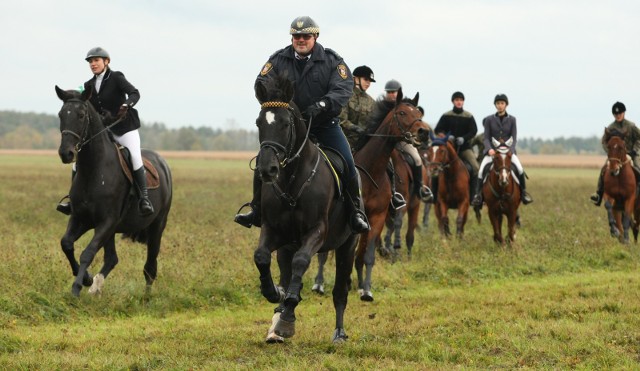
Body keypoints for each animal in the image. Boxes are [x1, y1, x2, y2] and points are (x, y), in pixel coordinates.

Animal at [54, 85, 172, 298]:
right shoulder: (82, 218)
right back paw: (95, 286)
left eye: (81, 115)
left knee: (150, 266)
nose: (66, 153)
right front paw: (86, 279)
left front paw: (77, 288)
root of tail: (162, 162)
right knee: (112, 259)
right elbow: (66, 244)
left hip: (157, 225)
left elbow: (87, 253)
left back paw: (146, 298)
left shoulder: (106, 222)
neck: (94, 170)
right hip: (112, 230)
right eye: (61, 114)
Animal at [251, 75, 360, 346]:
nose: (267, 169)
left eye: (285, 123)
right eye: (259, 122)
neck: (292, 177)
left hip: (348, 246)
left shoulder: (317, 231)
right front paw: (274, 293)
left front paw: (288, 317)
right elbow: (261, 256)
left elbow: (301, 262)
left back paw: (339, 333)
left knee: (340, 292)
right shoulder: (274, 230)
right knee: (286, 271)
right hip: (287, 246)